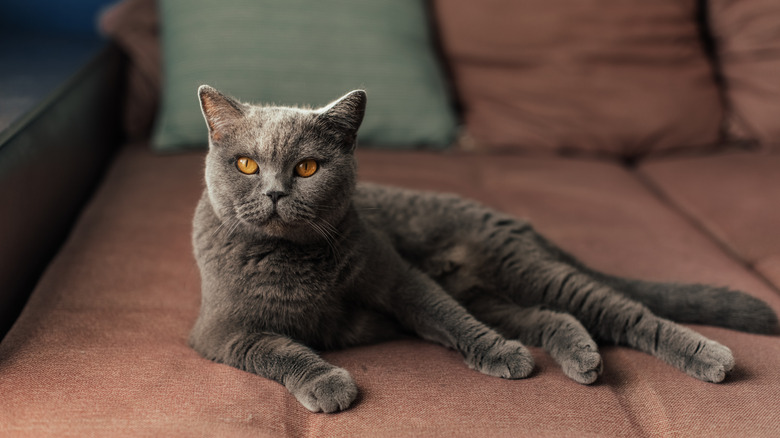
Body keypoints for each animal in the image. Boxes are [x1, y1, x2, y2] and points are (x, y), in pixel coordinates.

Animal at [190, 85, 780, 414]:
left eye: (308, 167)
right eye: (247, 164)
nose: (274, 193)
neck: (296, 259)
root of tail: (513, 220)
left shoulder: (399, 277)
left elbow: (445, 315)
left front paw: (497, 353)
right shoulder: (220, 331)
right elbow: (278, 350)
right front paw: (329, 383)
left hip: (520, 268)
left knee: (622, 310)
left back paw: (710, 356)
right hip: (494, 292)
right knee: (554, 316)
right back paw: (583, 357)